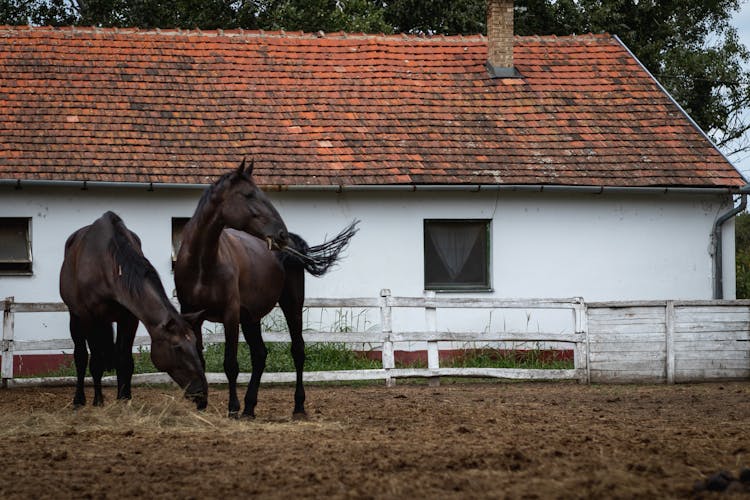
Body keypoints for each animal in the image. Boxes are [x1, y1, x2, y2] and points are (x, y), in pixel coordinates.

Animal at [59, 211, 209, 410]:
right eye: (177, 348)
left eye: (196, 344)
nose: (202, 393)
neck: (109, 266)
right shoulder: (91, 319)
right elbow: (95, 361)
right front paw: (98, 402)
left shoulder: (130, 319)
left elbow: (125, 360)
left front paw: (124, 398)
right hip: (76, 317)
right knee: (81, 356)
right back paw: (79, 399)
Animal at [176, 160, 358, 418]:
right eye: (249, 195)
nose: (281, 233)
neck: (203, 263)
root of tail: (292, 245)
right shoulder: (191, 314)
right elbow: (199, 361)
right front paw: (201, 405)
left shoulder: (230, 315)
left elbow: (230, 364)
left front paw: (232, 408)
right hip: (250, 318)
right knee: (260, 355)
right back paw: (250, 407)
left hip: (291, 305)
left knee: (297, 350)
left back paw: (297, 406)